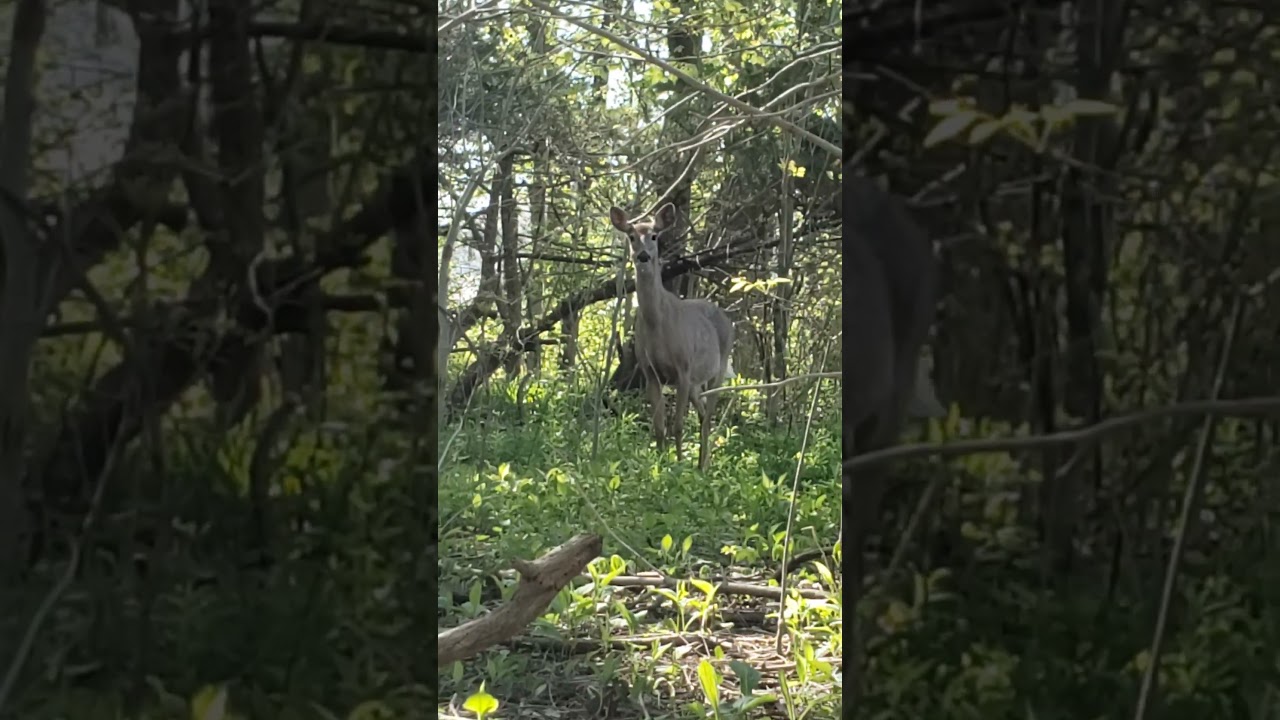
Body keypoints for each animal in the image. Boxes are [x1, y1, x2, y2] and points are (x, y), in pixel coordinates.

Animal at [609, 202, 735, 471]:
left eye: (655, 236)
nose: (643, 255)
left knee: (709, 416)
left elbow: (677, 426)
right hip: (696, 382)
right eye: (631, 236)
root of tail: (727, 319)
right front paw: (659, 465)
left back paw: (703, 467)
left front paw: (677, 467)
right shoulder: (650, 372)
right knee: (702, 414)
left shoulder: (683, 369)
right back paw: (700, 464)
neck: (658, 325)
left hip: (717, 370)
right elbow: (659, 427)